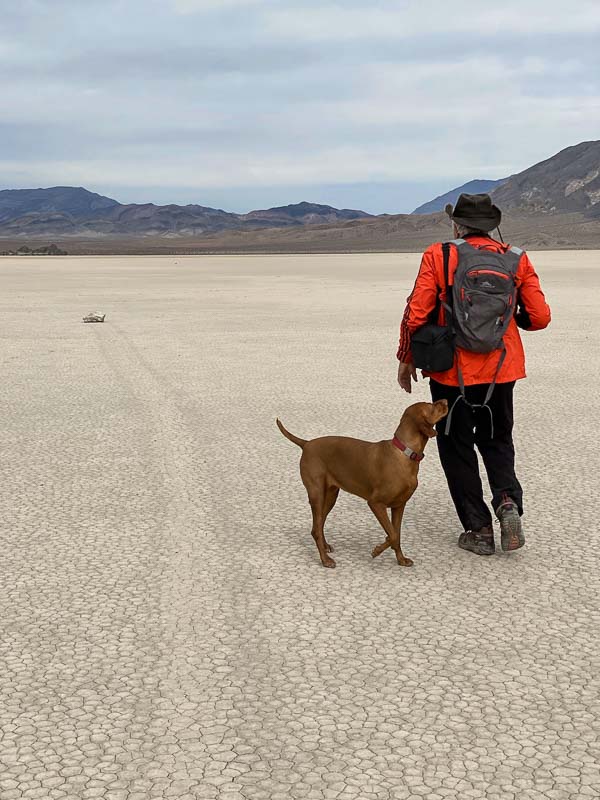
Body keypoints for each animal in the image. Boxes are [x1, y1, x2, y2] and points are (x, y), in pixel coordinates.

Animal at [276, 400, 446, 568]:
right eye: (431, 405)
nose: (446, 401)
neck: (405, 453)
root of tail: (306, 444)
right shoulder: (375, 503)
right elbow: (392, 534)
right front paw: (377, 550)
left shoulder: (399, 505)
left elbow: (396, 535)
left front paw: (401, 560)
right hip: (316, 494)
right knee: (317, 529)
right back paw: (325, 560)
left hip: (330, 496)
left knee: (317, 526)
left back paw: (325, 547)